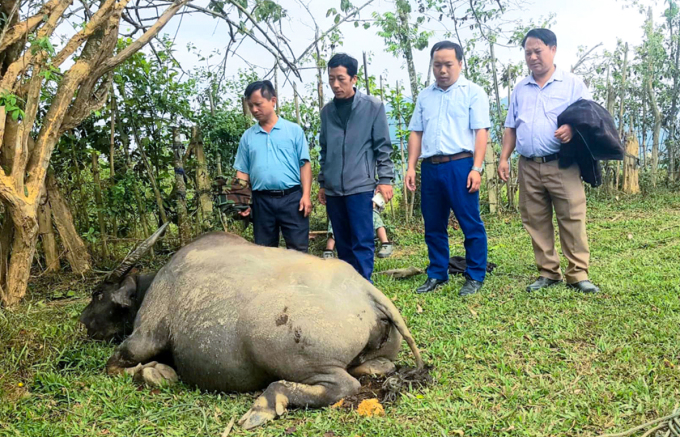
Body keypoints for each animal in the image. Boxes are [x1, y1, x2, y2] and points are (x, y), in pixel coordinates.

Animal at [79, 227, 420, 428]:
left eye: (98, 294)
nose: (83, 322)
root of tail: (365, 291)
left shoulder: (143, 338)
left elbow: (117, 365)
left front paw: (158, 373)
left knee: (343, 385)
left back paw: (266, 404)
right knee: (376, 367)